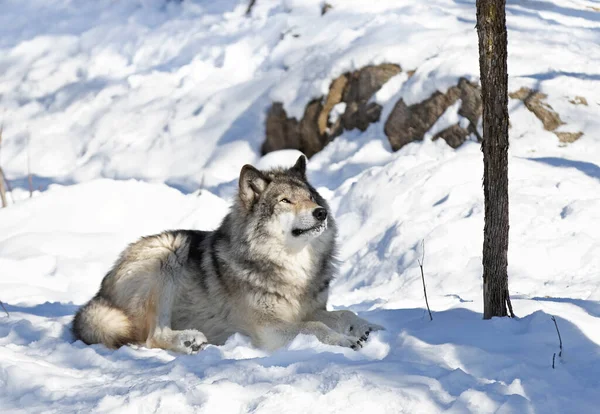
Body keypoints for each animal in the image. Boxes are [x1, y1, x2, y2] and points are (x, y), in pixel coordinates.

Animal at [72, 155, 382, 352]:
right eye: (285, 201)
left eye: (310, 197)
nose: (321, 212)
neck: (293, 268)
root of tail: (100, 293)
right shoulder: (269, 326)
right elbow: (316, 327)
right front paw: (345, 342)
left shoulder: (311, 309)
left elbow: (343, 314)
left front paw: (368, 328)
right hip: (167, 254)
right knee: (152, 337)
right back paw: (189, 341)